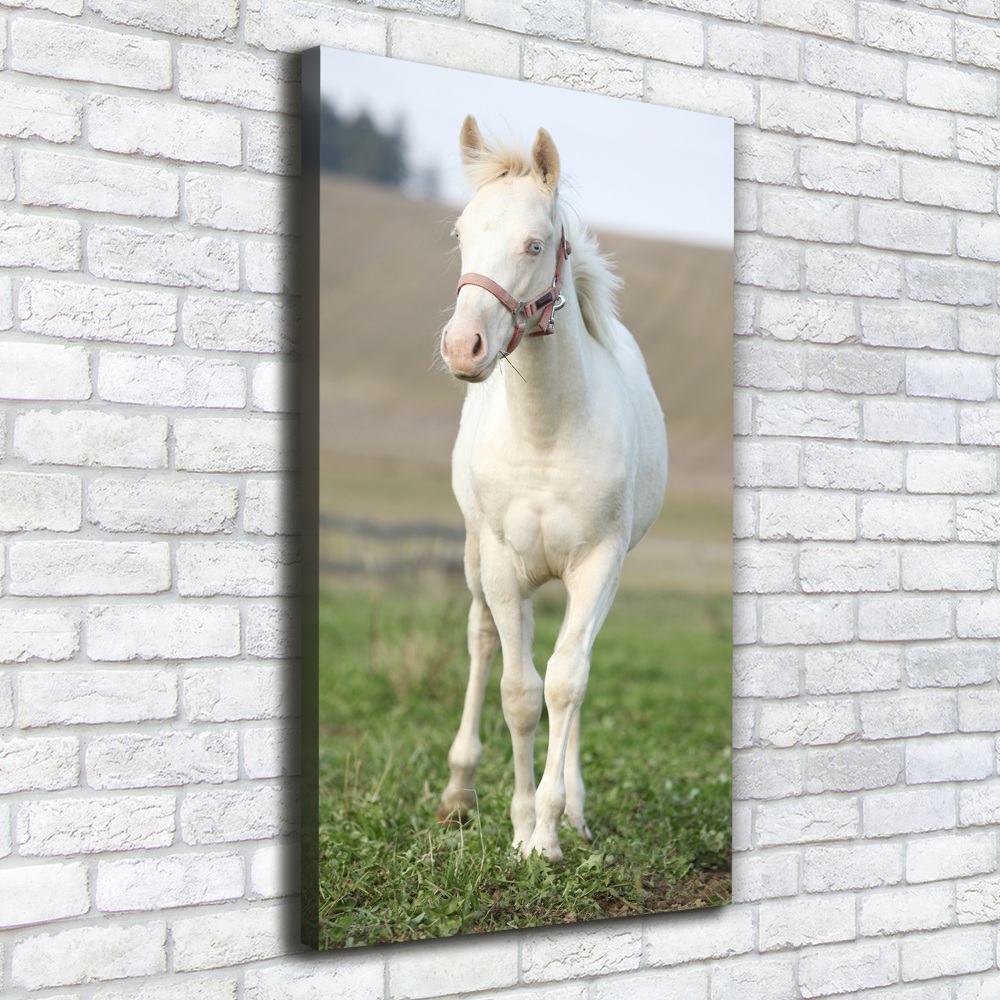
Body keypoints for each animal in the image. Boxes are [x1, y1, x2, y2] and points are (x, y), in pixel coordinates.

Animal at [440, 117, 668, 864]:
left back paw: (574, 809)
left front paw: (549, 829)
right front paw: (518, 828)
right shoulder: (504, 566)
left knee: (572, 668)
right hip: (478, 558)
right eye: (460, 233)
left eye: (534, 243)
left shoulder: (598, 565)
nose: (463, 347)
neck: (545, 434)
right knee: (484, 643)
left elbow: (567, 682)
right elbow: (518, 690)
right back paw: (459, 792)